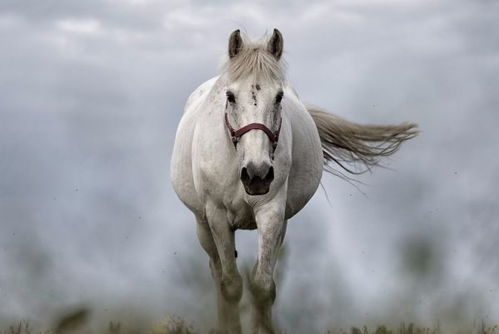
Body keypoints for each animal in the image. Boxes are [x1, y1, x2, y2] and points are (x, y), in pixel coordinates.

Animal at [172, 29, 418, 334]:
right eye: (230, 96)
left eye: (278, 97)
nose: (257, 174)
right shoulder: (217, 216)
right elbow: (230, 285)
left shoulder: (272, 212)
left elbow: (262, 285)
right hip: (203, 224)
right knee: (217, 273)